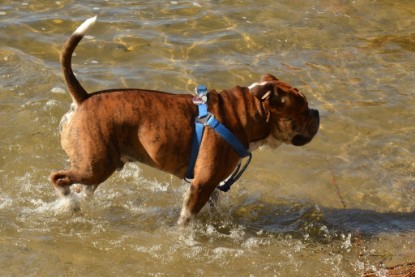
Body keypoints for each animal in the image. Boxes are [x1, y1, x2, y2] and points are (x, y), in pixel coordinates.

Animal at [50, 16, 320, 224]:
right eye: (303, 110)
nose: (317, 112)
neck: (243, 114)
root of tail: (84, 98)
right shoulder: (201, 184)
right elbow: (186, 218)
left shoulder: (213, 185)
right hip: (94, 165)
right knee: (58, 178)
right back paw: (70, 203)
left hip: (101, 165)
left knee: (81, 188)